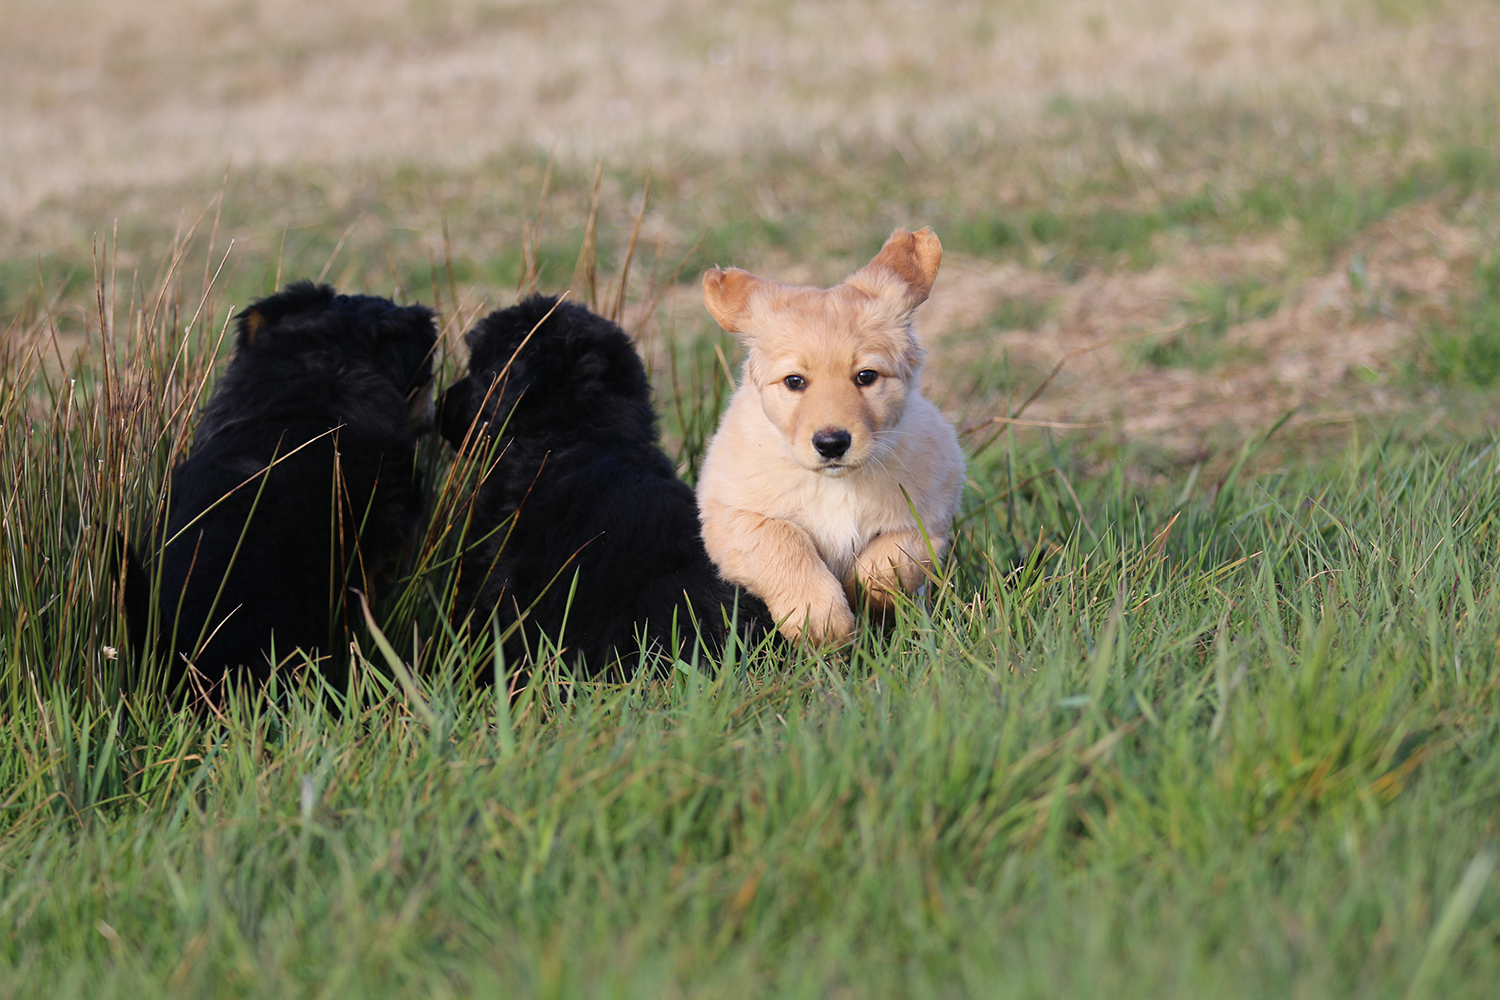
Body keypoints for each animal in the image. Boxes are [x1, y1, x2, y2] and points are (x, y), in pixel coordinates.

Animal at [696, 227, 965, 646]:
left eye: (866, 376)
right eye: (794, 381)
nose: (831, 444)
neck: (837, 484)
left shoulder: (928, 521)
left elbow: (884, 565)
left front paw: (862, 598)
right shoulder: (733, 519)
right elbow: (784, 545)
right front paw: (821, 621)